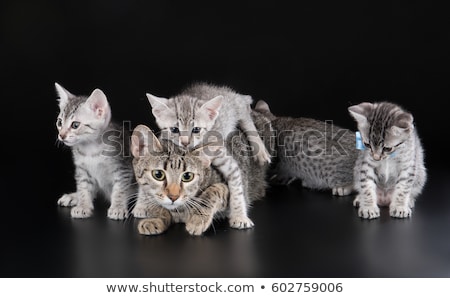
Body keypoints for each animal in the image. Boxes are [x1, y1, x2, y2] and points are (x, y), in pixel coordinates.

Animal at [54, 82, 135, 220]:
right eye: (59, 122)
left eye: (75, 125)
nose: (61, 135)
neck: (90, 149)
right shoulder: (82, 170)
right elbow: (84, 187)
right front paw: (83, 205)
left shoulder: (123, 168)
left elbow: (120, 188)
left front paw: (118, 207)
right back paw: (74, 196)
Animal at [128, 121, 268, 235]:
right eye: (158, 174)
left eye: (187, 176)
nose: (173, 197)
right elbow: (159, 207)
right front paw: (154, 219)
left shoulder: (224, 186)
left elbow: (213, 191)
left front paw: (197, 219)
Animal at [145, 82, 270, 229]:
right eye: (174, 129)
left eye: (196, 130)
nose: (185, 142)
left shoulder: (222, 156)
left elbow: (237, 188)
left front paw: (239, 216)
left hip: (236, 107)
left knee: (246, 114)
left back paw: (260, 150)